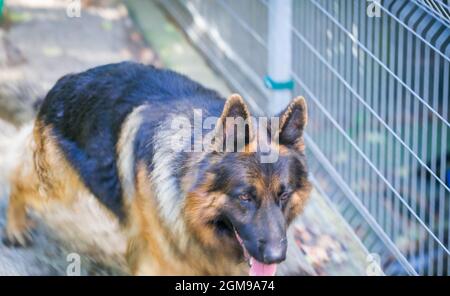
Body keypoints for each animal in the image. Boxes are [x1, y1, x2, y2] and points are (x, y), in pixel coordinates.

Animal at [3, 62, 312, 276]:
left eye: (284, 196)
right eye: (245, 197)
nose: (276, 257)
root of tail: (67, 80)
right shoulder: (157, 265)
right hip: (57, 187)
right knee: (18, 177)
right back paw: (15, 226)